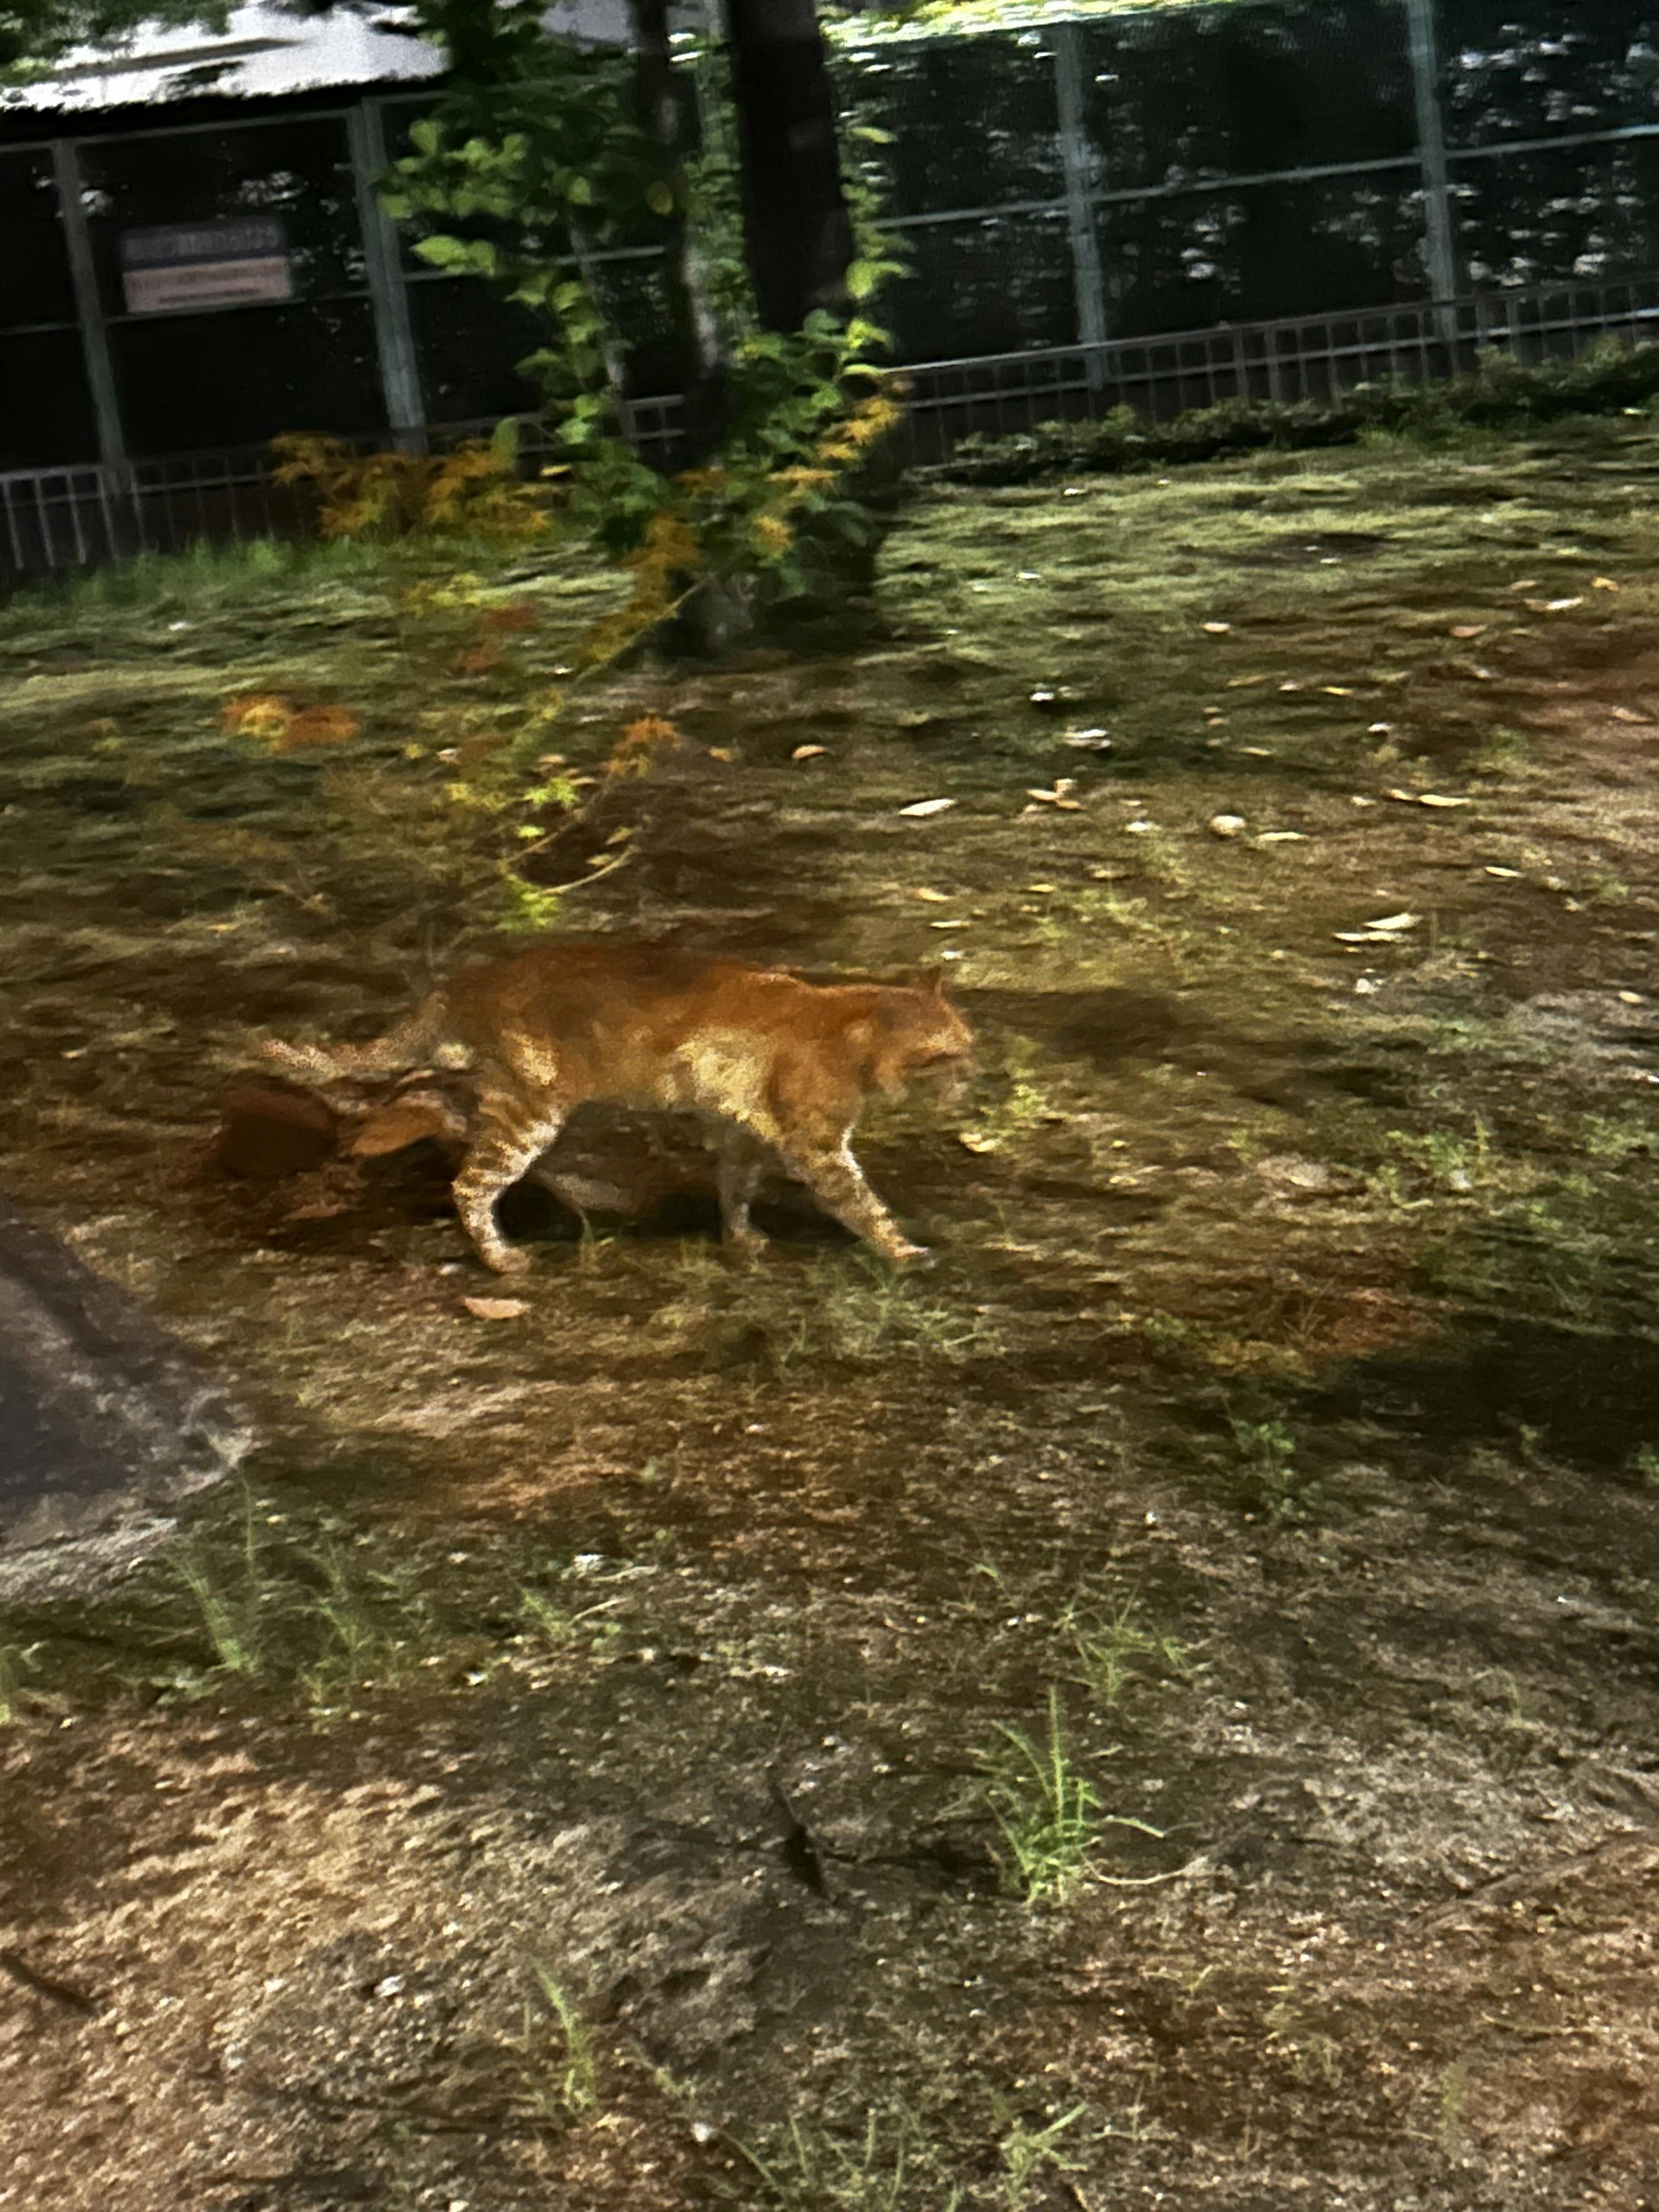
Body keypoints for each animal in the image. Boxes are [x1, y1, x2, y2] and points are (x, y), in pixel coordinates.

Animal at [261, 941, 974, 1273]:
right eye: (955, 1053)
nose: (976, 1078)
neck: (851, 1027)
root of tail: (464, 979)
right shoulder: (818, 1146)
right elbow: (864, 1204)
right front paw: (904, 1253)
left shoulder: (742, 1129)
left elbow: (736, 1187)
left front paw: (740, 1239)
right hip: (532, 1109)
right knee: (469, 1180)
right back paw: (503, 1260)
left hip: (507, 1098)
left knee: (427, 1100)